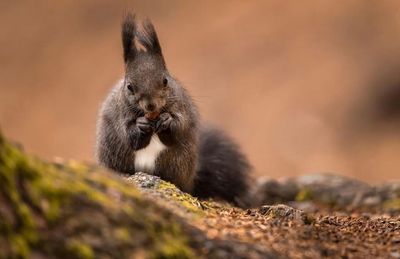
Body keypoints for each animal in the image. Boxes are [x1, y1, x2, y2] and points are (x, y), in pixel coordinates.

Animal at [95, 13, 250, 205]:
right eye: (129, 87)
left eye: (165, 80)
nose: (151, 105)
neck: (153, 116)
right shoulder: (119, 114)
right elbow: (129, 136)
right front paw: (140, 125)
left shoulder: (182, 107)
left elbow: (179, 127)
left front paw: (167, 120)